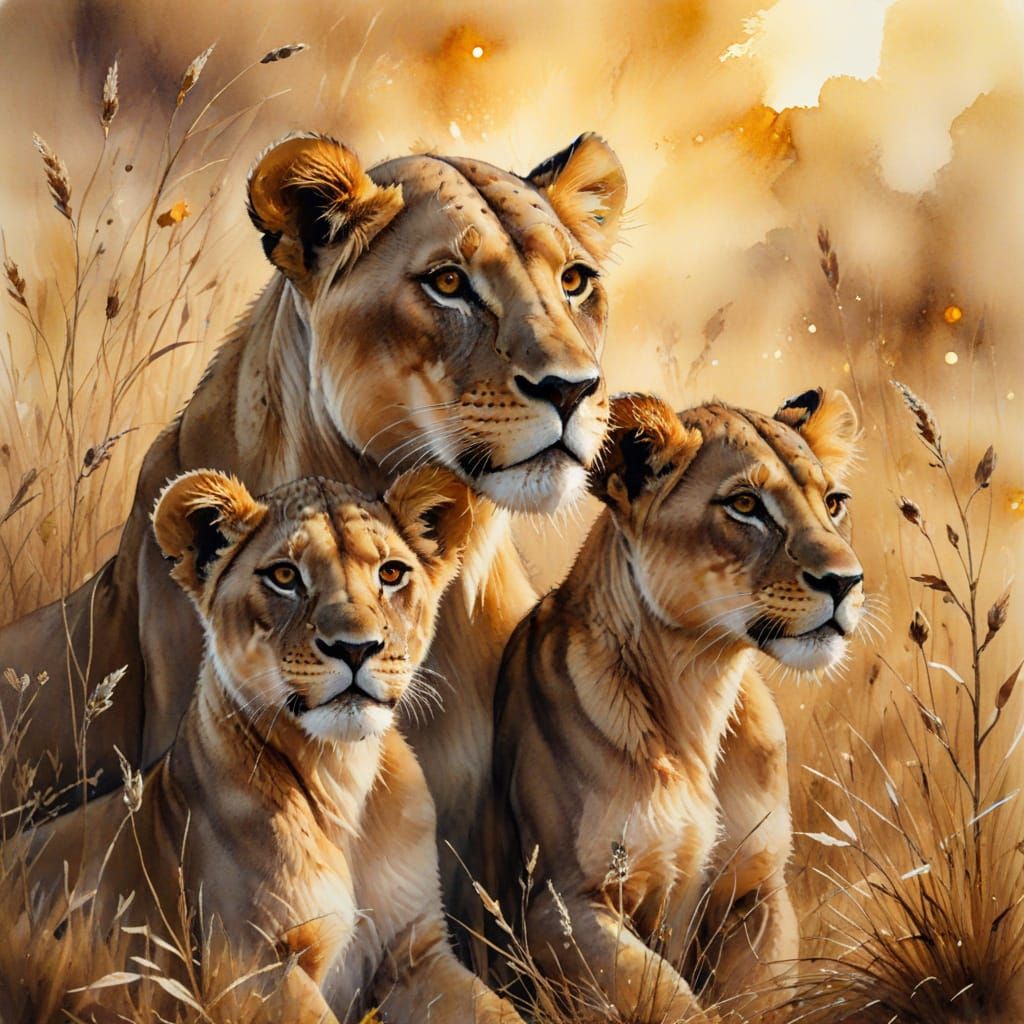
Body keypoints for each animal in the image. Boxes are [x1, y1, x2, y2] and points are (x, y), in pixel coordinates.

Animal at [15, 466, 521, 1023]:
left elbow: (496, 1011)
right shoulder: (252, 966)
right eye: (284, 577)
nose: (356, 648)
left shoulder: (416, 951)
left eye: (391, 573)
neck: (342, 775)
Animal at [493, 389, 865, 1022]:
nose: (846, 582)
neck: (699, 683)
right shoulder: (556, 905)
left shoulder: (758, 890)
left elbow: (751, 1000)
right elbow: (668, 998)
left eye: (834, 502)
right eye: (745, 504)